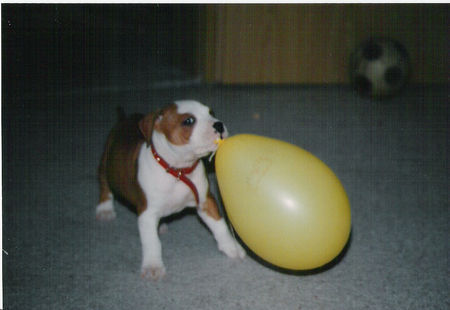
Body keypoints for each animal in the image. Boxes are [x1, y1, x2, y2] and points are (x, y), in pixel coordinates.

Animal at [96, 100, 246, 280]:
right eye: (188, 121)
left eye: (211, 113)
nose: (218, 124)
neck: (178, 169)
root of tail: (123, 120)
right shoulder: (147, 214)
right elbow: (152, 242)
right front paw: (153, 266)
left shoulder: (205, 202)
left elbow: (220, 226)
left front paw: (232, 247)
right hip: (105, 164)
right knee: (104, 185)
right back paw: (104, 209)